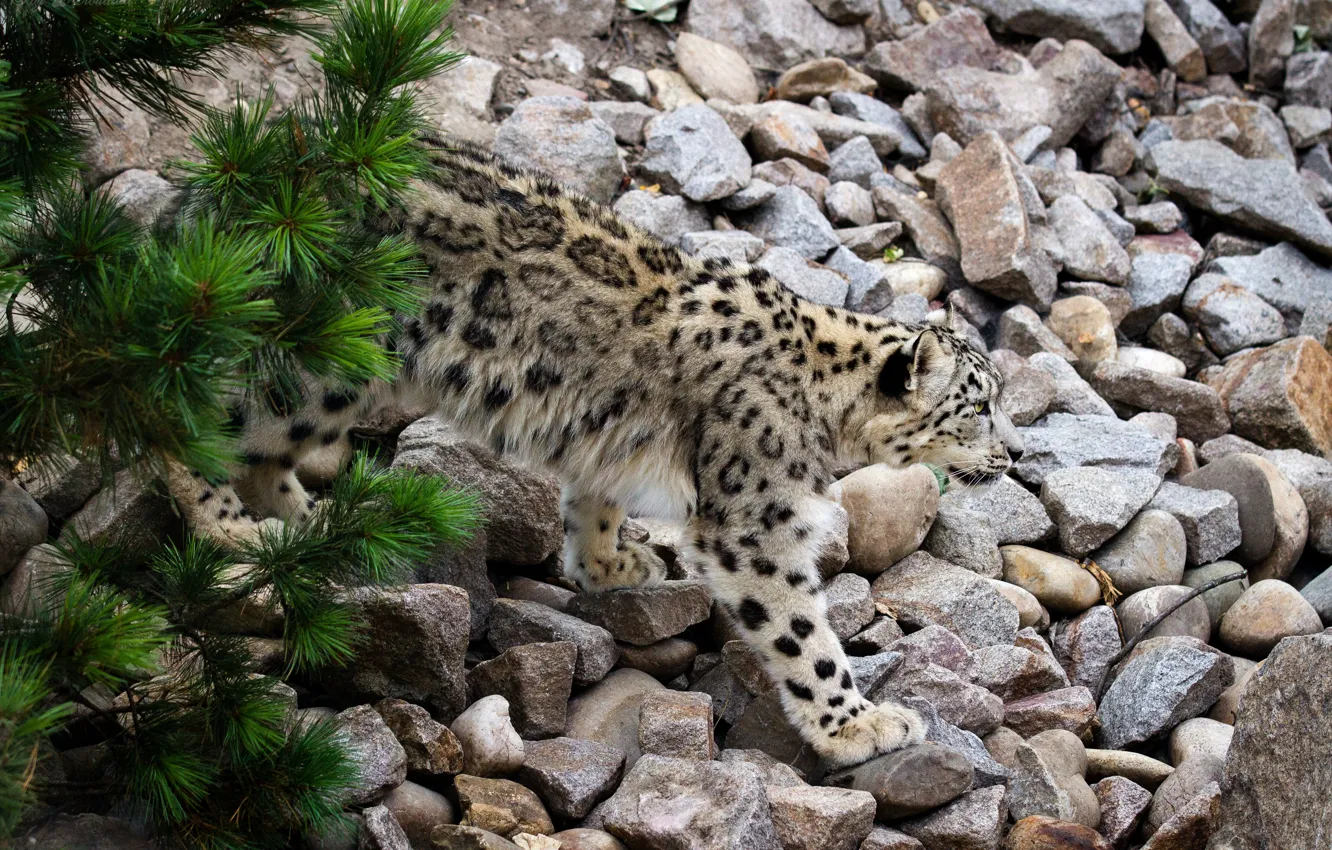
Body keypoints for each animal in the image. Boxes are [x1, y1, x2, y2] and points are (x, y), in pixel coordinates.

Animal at [168, 139, 1026, 770]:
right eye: (979, 404)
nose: (1018, 454)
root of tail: (261, 169)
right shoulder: (755, 525)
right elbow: (802, 635)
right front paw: (857, 725)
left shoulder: (614, 441)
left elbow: (596, 498)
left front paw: (612, 564)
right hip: (320, 360)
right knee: (199, 408)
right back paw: (230, 524)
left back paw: (310, 521)